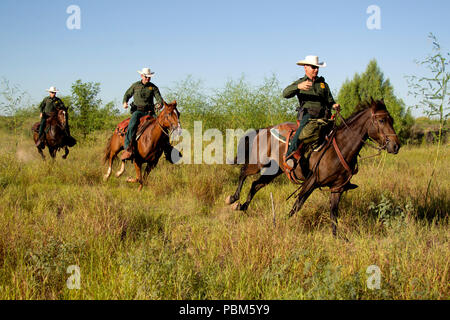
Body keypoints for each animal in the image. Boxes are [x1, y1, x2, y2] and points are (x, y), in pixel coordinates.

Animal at [225, 100, 400, 238]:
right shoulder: (311, 181)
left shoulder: (337, 188)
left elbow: (333, 212)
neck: (341, 147)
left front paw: (338, 238)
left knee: (255, 185)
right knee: (243, 173)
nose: (395, 146)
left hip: (273, 171)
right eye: (382, 120)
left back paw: (242, 206)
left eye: (391, 119)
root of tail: (264, 129)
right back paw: (233, 199)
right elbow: (297, 205)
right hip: (259, 164)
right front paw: (282, 223)